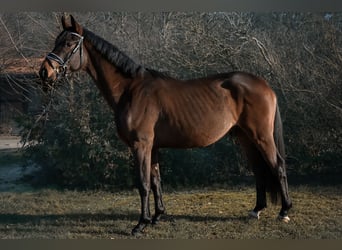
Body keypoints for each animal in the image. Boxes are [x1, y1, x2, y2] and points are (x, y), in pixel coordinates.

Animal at [39, 15, 292, 234]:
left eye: (69, 43)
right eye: (57, 41)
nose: (45, 71)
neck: (131, 90)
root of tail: (264, 85)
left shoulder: (140, 145)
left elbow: (143, 183)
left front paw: (140, 224)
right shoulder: (153, 147)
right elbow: (156, 180)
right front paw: (157, 216)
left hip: (261, 136)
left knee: (277, 166)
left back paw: (284, 211)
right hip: (245, 137)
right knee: (259, 170)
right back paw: (257, 210)